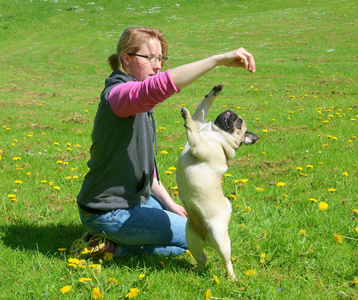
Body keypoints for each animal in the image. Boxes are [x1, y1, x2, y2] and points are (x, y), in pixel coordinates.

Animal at [176, 85, 258, 282]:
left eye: (239, 123)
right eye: (235, 117)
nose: (231, 114)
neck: (214, 132)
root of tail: (205, 238)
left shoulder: (200, 145)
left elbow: (191, 125)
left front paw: (185, 114)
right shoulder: (200, 122)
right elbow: (203, 107)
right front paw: (215, 90)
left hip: (221, 241)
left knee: (226, 261)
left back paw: (231, 279)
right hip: (191, 240)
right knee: (202, 258)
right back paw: (197, 273)